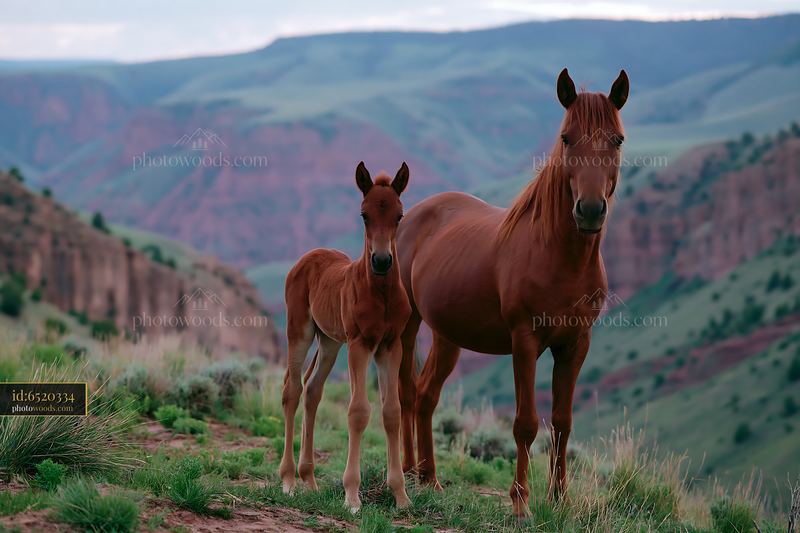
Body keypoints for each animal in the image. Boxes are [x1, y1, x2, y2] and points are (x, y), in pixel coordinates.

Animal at [279, 162, 412, 513]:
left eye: (399, 215)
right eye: (364, 214)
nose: (382, 260)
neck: (381, 294)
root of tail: (307, 257)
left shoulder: (391, 346)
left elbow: (391, 412)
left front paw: (401, 496)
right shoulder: (360, 344)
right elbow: (359, 411)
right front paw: (352, 495)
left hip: (329, 341)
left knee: (313, 390)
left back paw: (309, 480)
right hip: (301, 331)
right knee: (292, 391)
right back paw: (288, 480)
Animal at [396, 68, 629, 517]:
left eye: (617, 139)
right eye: (567, 137)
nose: (590, 211)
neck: (560, 257)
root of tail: (411, 215)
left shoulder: (576, 344)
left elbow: (562, 422)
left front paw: (560, 499)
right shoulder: (525, 341)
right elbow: (525, 424)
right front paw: (521, 502)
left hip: (447, 335)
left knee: (425, 395)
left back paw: (428, 478)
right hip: (408, 324)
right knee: (403, 393)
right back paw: (405, 474)